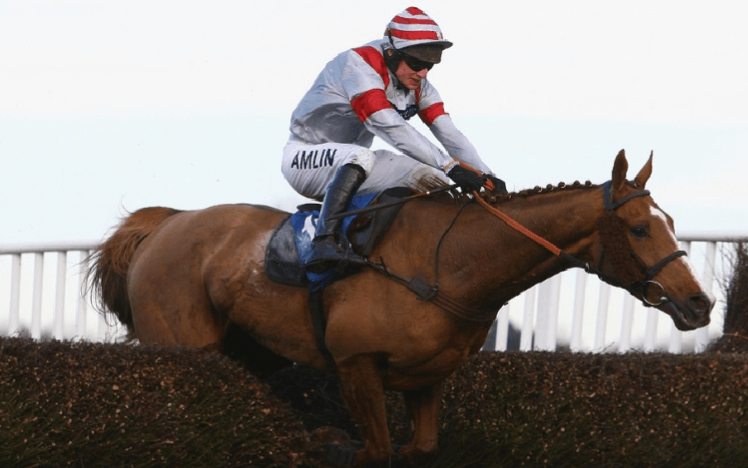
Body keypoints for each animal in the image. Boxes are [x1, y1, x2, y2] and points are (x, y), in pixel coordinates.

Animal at [87, 152, 712, 466]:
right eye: (639, 228)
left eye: (670, 223)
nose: (699, 303)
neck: (450, 264)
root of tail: (164, 223)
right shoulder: (356, 366)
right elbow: (375, 448)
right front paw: (330, 441)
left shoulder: (426, 378)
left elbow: (421, 445)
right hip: (182, 347)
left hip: (249, 352)